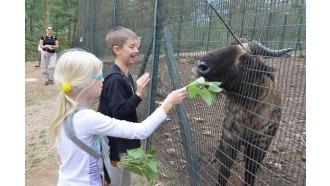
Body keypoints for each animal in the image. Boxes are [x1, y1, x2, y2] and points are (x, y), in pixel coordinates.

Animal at [193, 41, 292, 186]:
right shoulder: (231, 139)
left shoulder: (259, 147)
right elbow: (224, 174)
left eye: (245, 60)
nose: (201, 66)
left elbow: (250, 176)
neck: (250, 113)